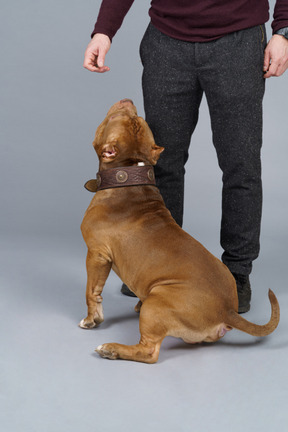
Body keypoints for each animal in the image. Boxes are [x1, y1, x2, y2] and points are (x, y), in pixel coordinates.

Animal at [80, 99, 280, 362]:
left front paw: (91, 319)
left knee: (149, 351)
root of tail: (226, 310)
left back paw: (112, 349)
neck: (129, 175)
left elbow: (92, 291)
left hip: (158, 302)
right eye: (136, 118)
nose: (128, 101)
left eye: (117, 117)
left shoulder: (97, 254)